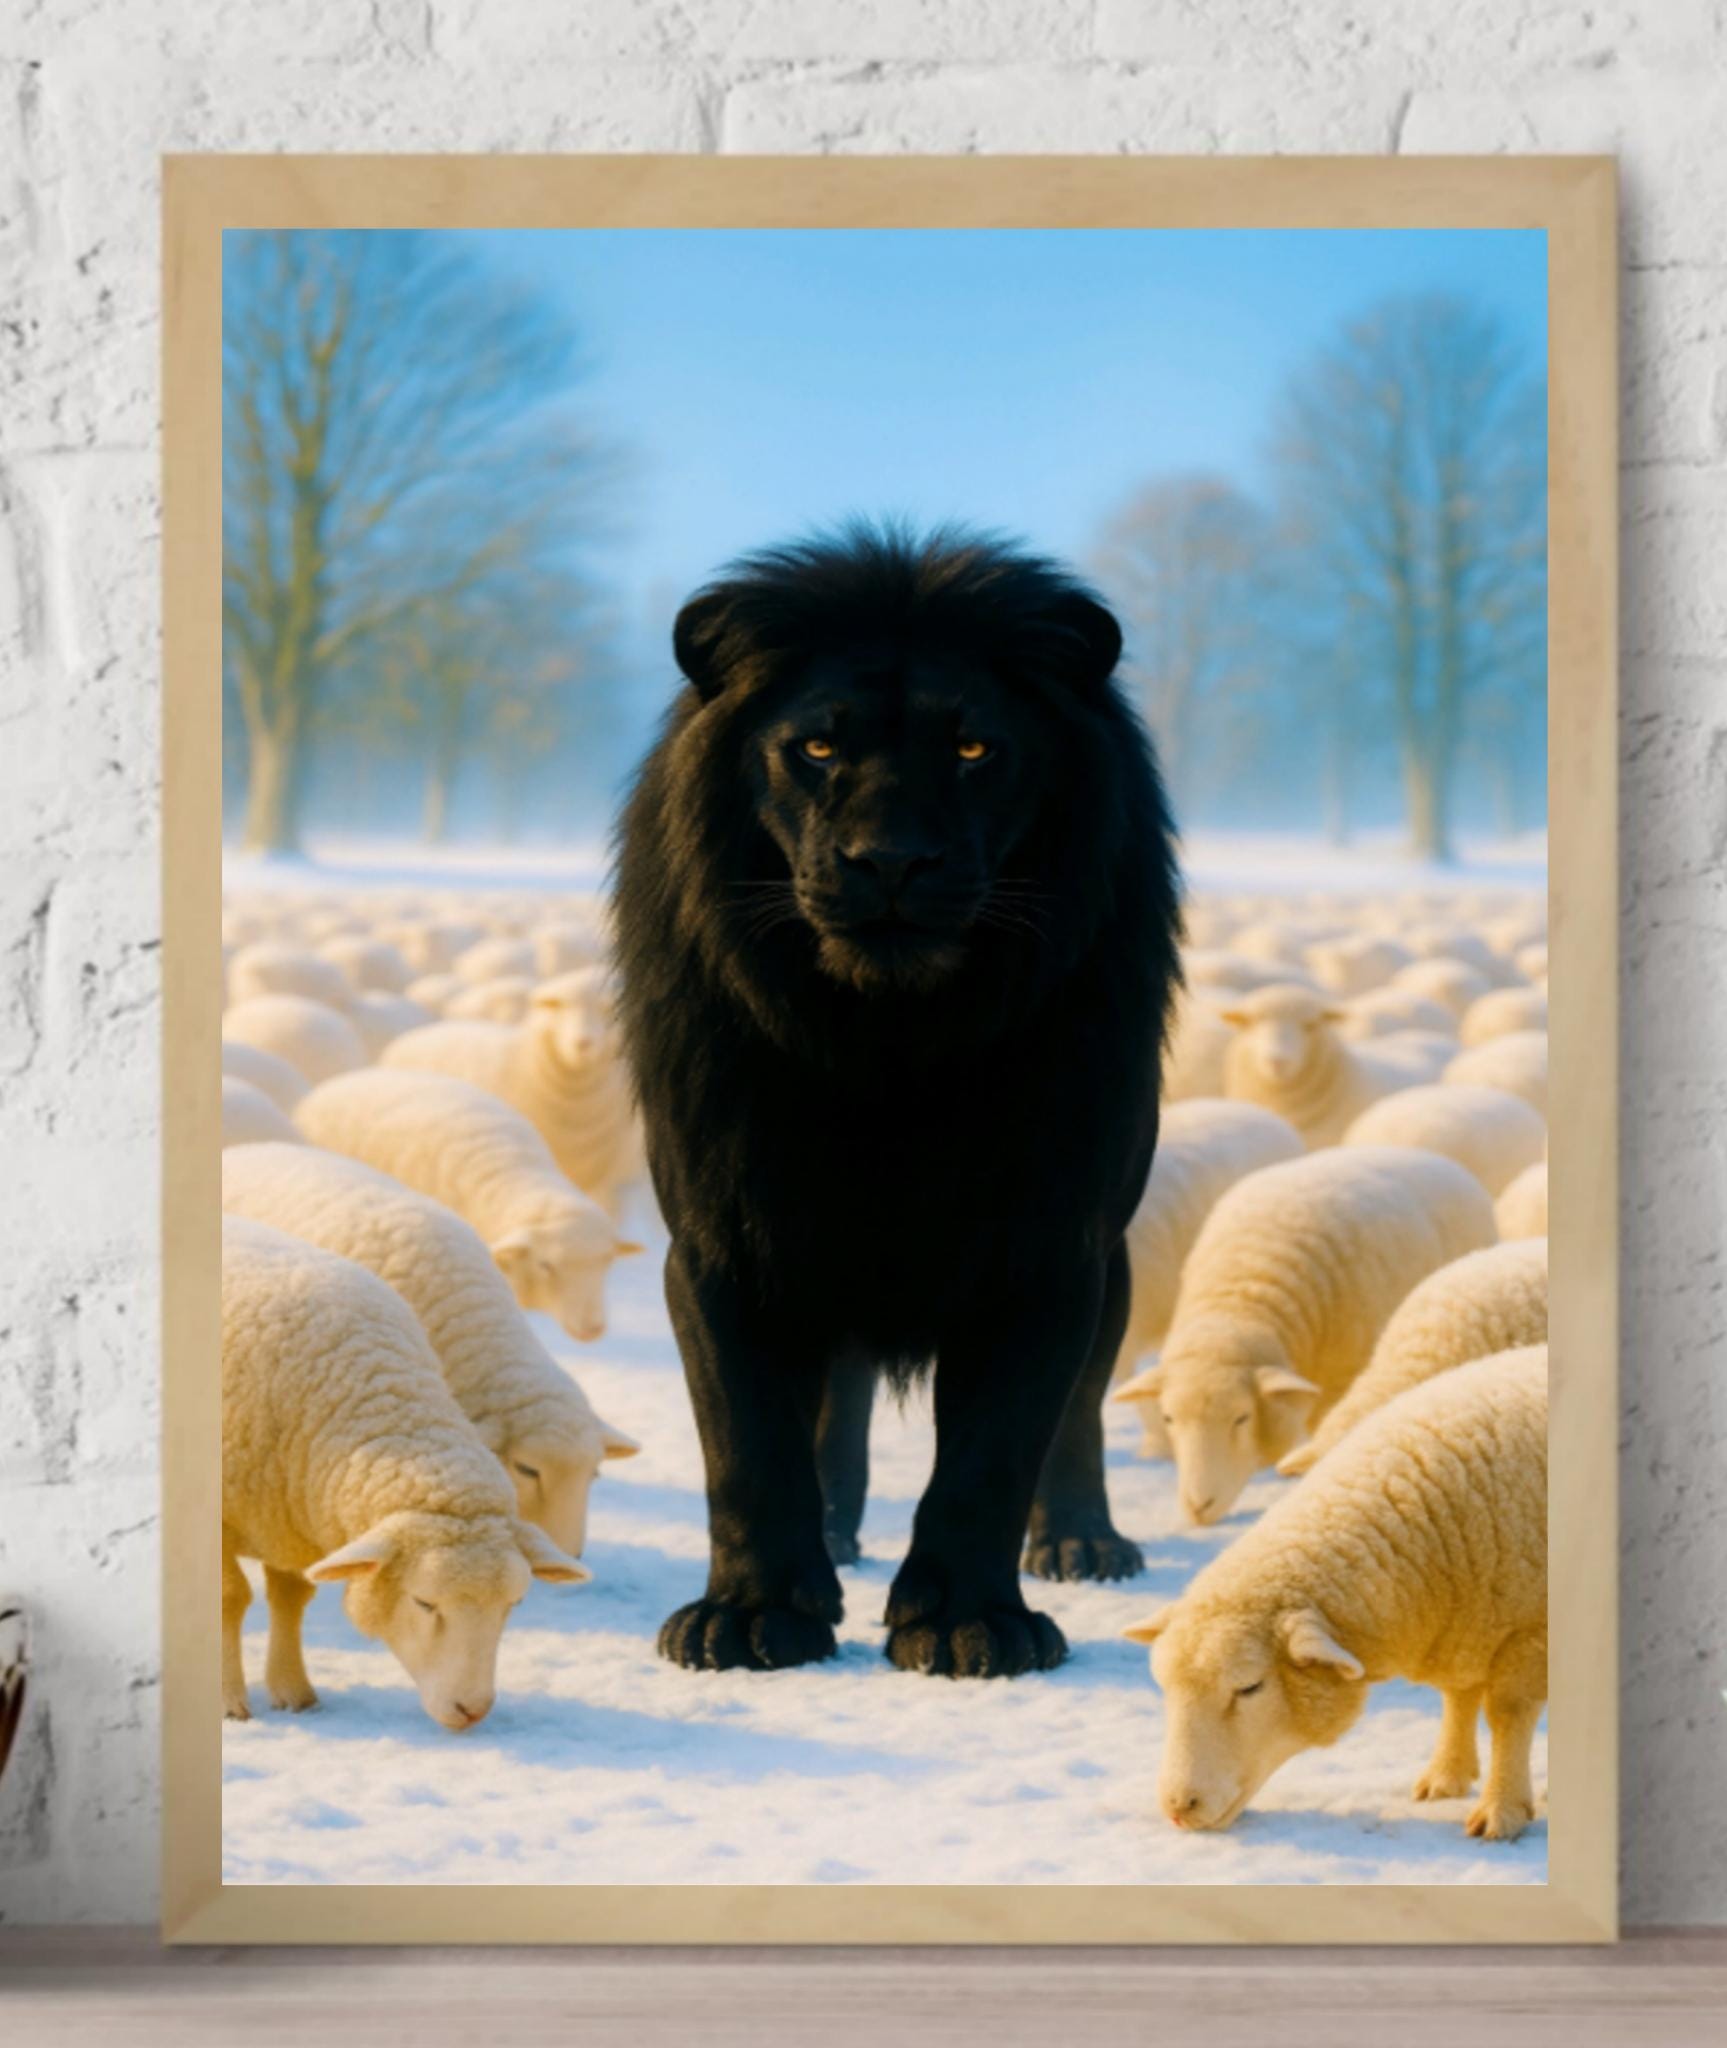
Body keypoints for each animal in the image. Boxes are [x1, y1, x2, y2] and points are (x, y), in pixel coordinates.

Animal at [220, 1217, 588, 1728]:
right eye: (424, 1602)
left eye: (513, 1605)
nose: (472, 1711)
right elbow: (230, 1598)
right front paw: (228, 1701)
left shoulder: (288, 1520)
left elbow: (291, 1598)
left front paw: (294, 1691)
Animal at [1114, 1145, 1496, 1523]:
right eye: (1168, 1418)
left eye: (1242, 1417)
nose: (1198, 1506)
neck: (1245, 1293)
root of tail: (1428, 1156)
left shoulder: (1341, 1378)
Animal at [1125, 1345, 1547, 1842]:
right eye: (1165, 1689)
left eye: (1250, 1687)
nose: (1178, 1808)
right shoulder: (1465, 1624)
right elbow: (1457, 1697)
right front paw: (1446, 1775)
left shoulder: (1530, 1630)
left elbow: (1507, 1714)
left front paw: (1502, 1809)